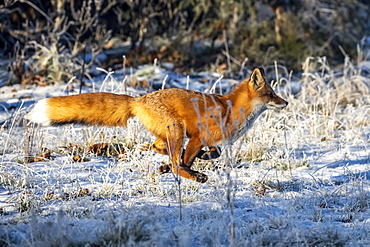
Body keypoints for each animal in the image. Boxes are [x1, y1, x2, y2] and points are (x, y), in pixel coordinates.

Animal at [25, 67, 290, 183]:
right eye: (271, 94)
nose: (286, 102)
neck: (231, 110)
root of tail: (139, 99)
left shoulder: (208, 140)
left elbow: (213, 153)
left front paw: (201, 159)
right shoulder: (197, 136)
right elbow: (187, 161)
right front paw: (192, 168)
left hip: (170, 133)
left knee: (157, 148)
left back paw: (171, 166)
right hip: (177, 130)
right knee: (173, 161)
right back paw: (191, 175)